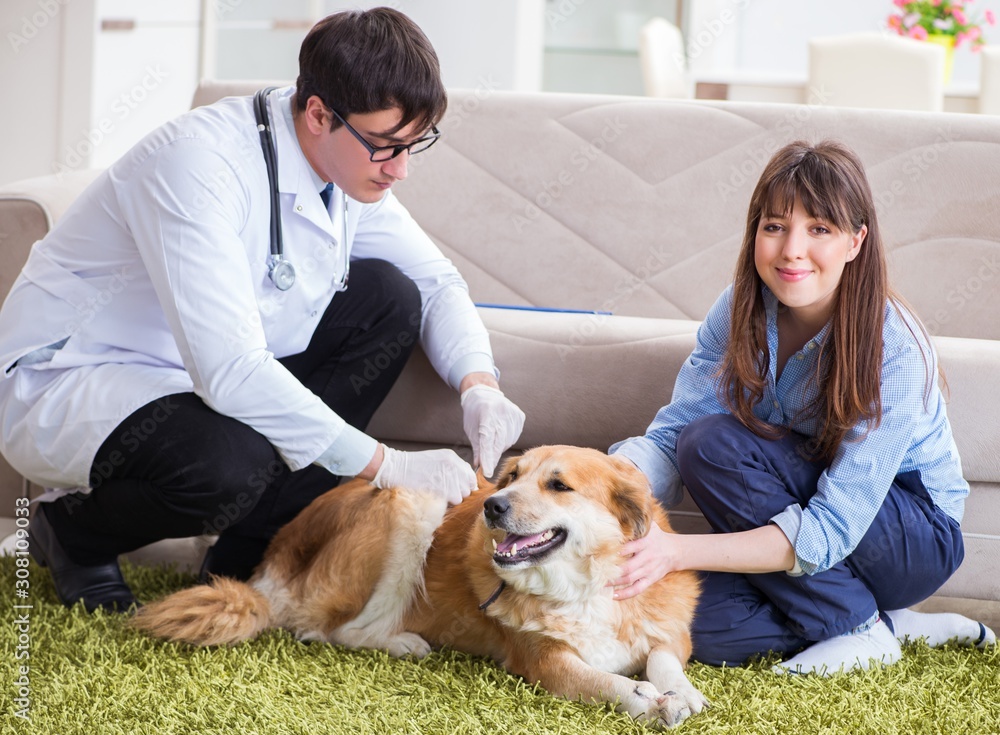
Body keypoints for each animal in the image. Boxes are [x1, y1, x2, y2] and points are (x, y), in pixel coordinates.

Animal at [135, 446, 704, 728]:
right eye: (511, 477)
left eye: (558, 485)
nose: (491, 506)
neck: (586, 585)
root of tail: (284, 546)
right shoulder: (541, 660)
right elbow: (602, 682)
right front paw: (646, 700)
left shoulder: (668, 629)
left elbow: (663, 658)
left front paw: (681, 690)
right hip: (411, 503)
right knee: (335, 631)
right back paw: (403, 642)